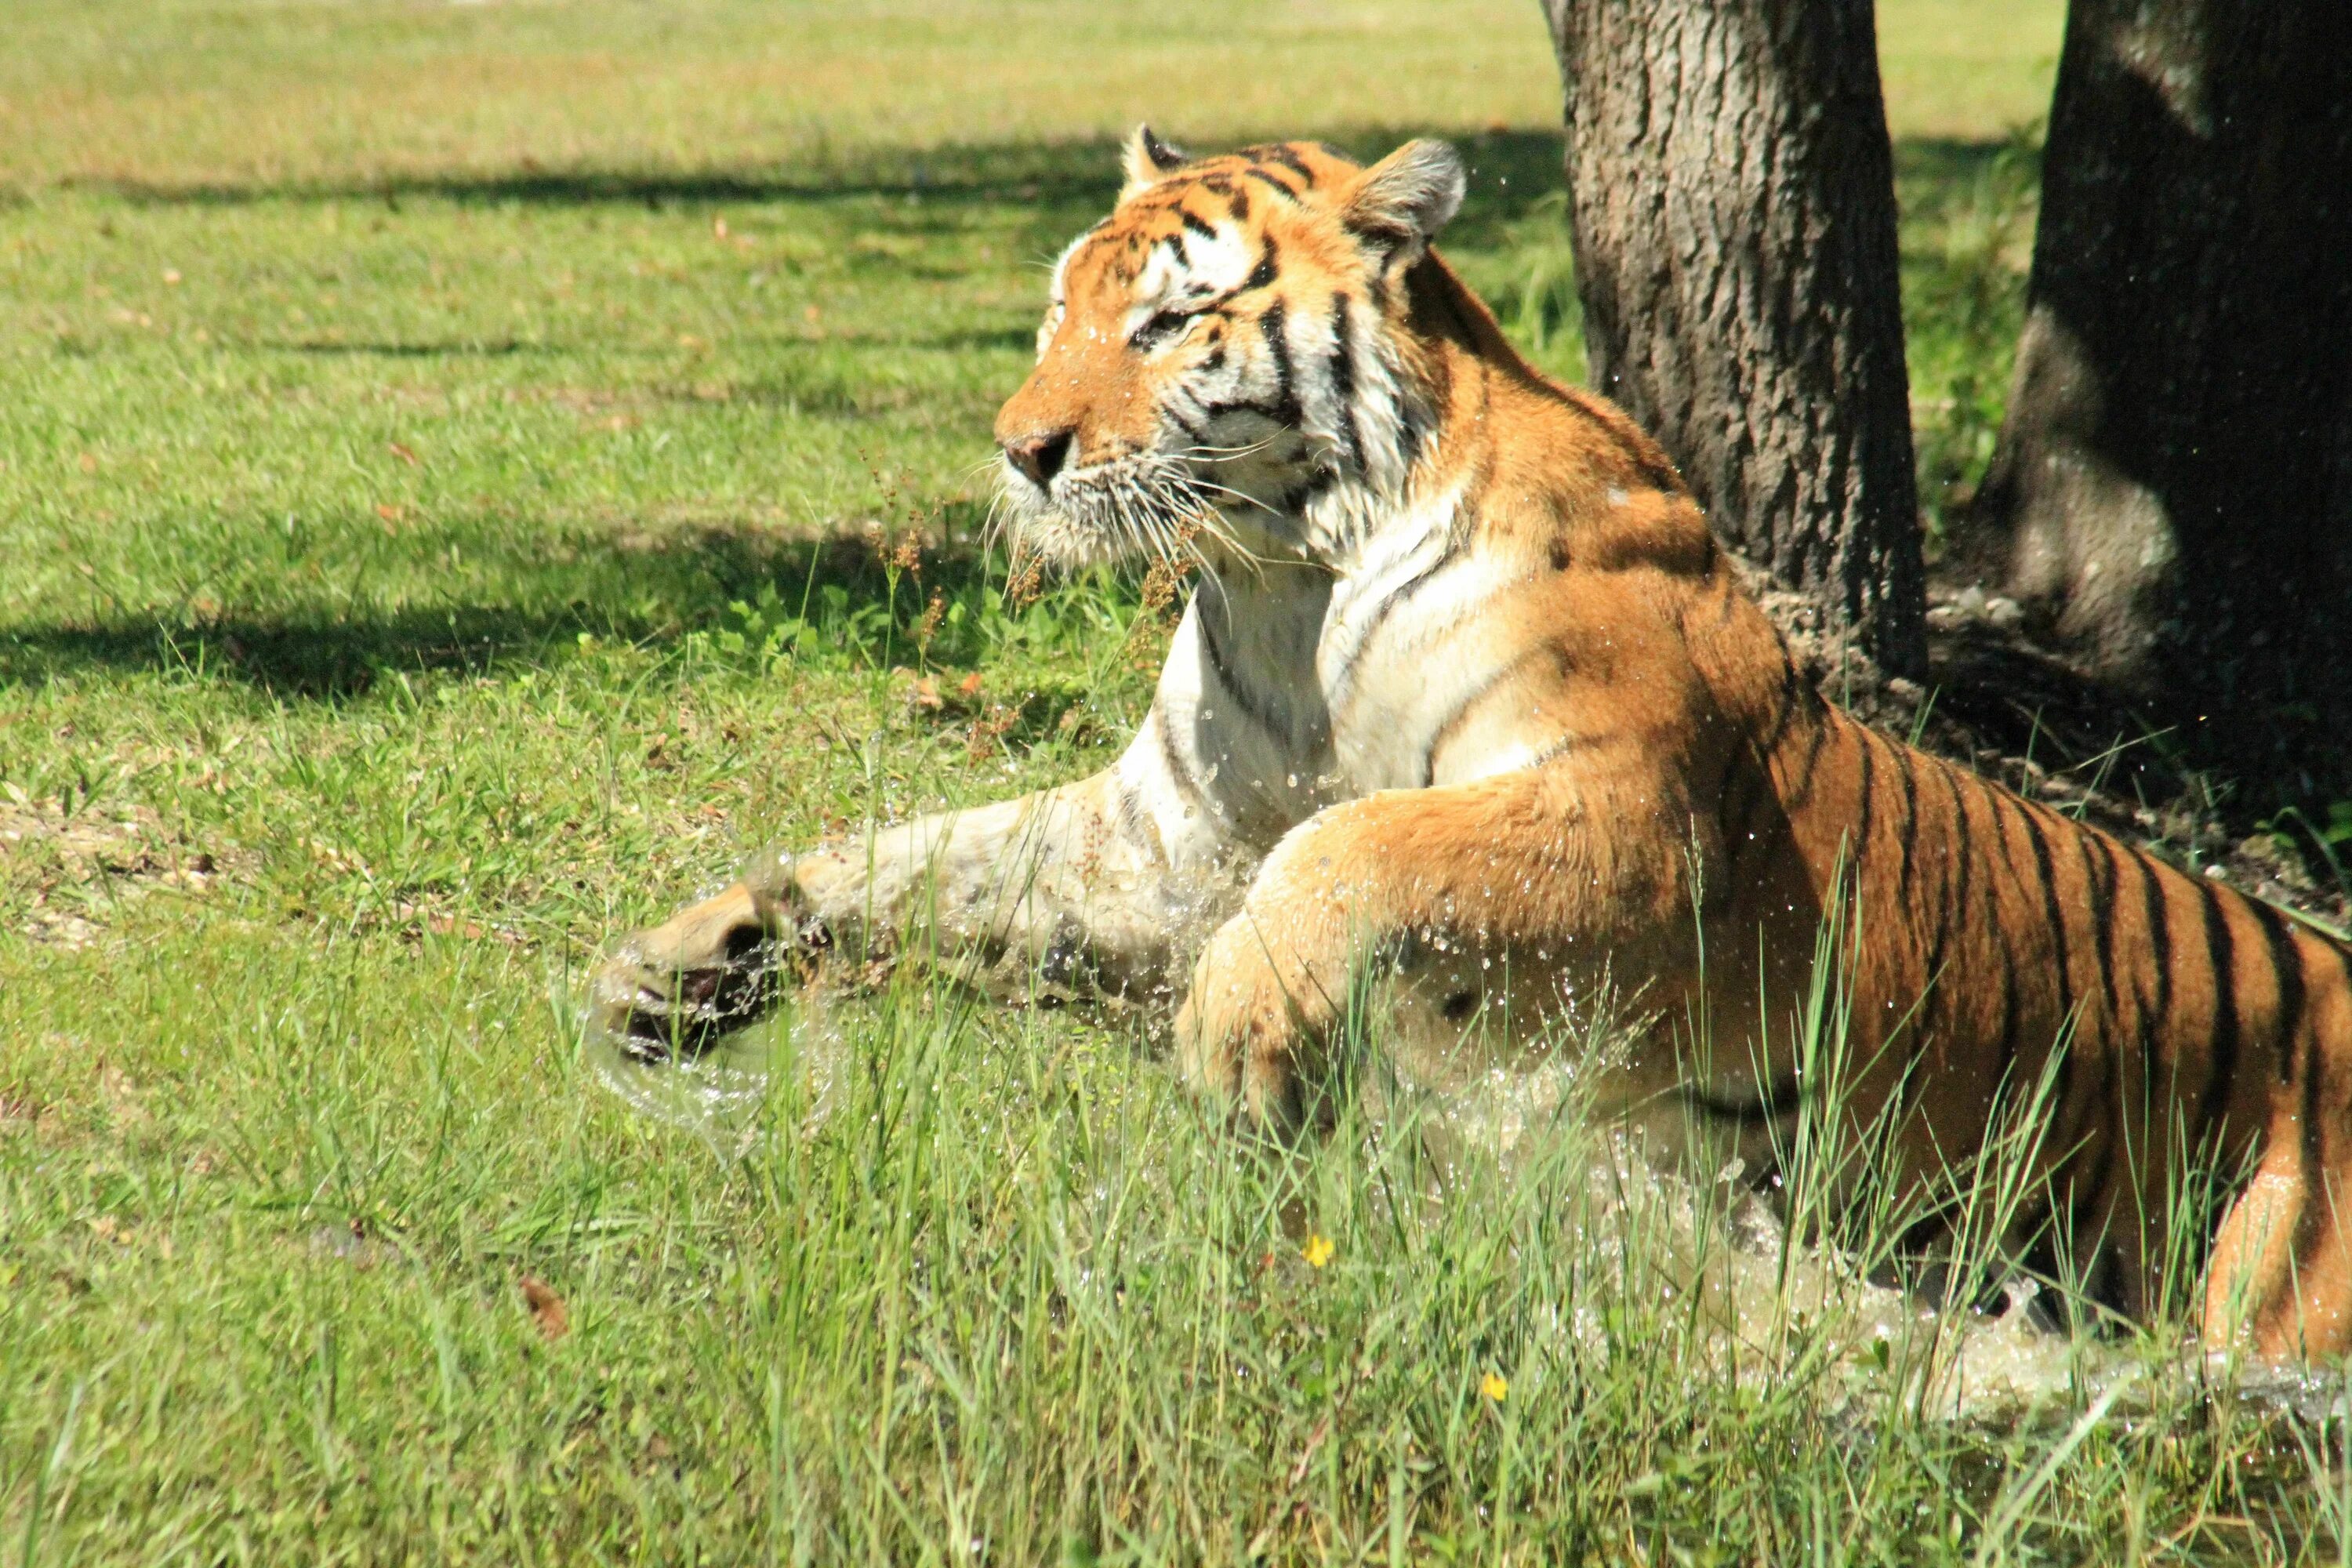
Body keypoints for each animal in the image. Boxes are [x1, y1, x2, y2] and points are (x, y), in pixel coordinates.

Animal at [602, 131, 2352, 1363]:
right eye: (1057, 313)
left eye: (1171, 322)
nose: (1022, 451)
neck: (1279, 583)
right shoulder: (1157, 845)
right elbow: (912, 860)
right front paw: (681, 964)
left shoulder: (1628, 806)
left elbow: (1354, 844)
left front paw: (1240, 1033)